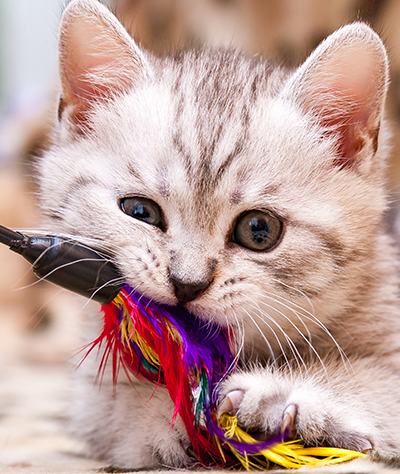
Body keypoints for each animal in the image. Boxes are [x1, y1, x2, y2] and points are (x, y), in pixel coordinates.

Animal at [38, 0, 400, 466]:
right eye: (139, 211)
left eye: (259, 230)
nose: (186, 283)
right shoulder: (89, 396)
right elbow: (114, 407)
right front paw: (174, 412)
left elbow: (377, 375)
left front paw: (282, 393)